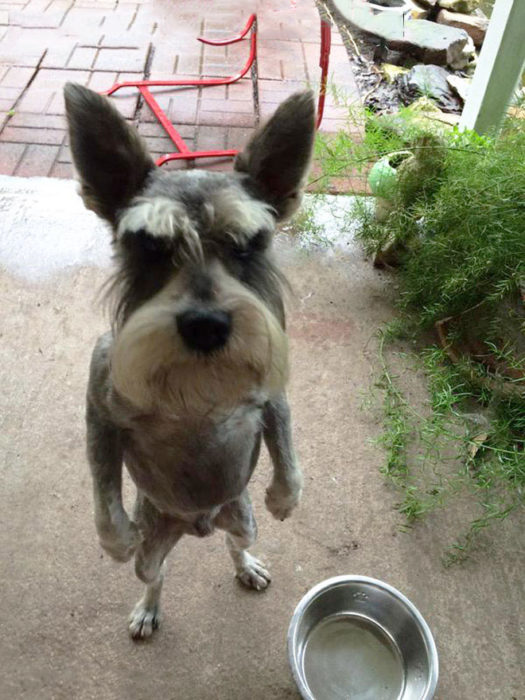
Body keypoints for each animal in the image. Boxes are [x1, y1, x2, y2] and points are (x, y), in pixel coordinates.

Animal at [63, 82, 314, 640]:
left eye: (249, 244)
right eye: (149, 246)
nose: (206, 326)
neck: (197, 388)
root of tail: (198, 525)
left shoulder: (271, 396)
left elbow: (288, 454)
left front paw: (285, 500)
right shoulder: (99, 409)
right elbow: (101, 485)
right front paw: (114, 539)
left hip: (241, 518)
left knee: (234, 545)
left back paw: (248, 566)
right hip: (156, 544)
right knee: (155, 574)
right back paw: (147, 608)